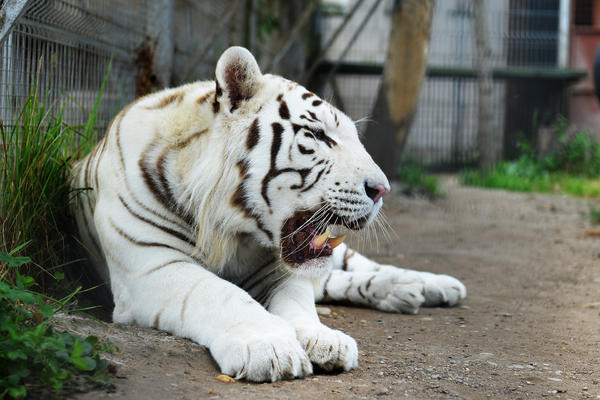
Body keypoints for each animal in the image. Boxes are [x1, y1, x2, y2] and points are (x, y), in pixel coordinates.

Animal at [69, 46, 464, 382]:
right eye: (317, 135)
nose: (382, 190)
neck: (232, 232)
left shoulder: (278, 272)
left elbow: (299, 304)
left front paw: (323, 339)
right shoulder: (152, 265)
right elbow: (220, 294)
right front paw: (269, 348)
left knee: (355, 268)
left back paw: (430, 285)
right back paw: (404, 292)